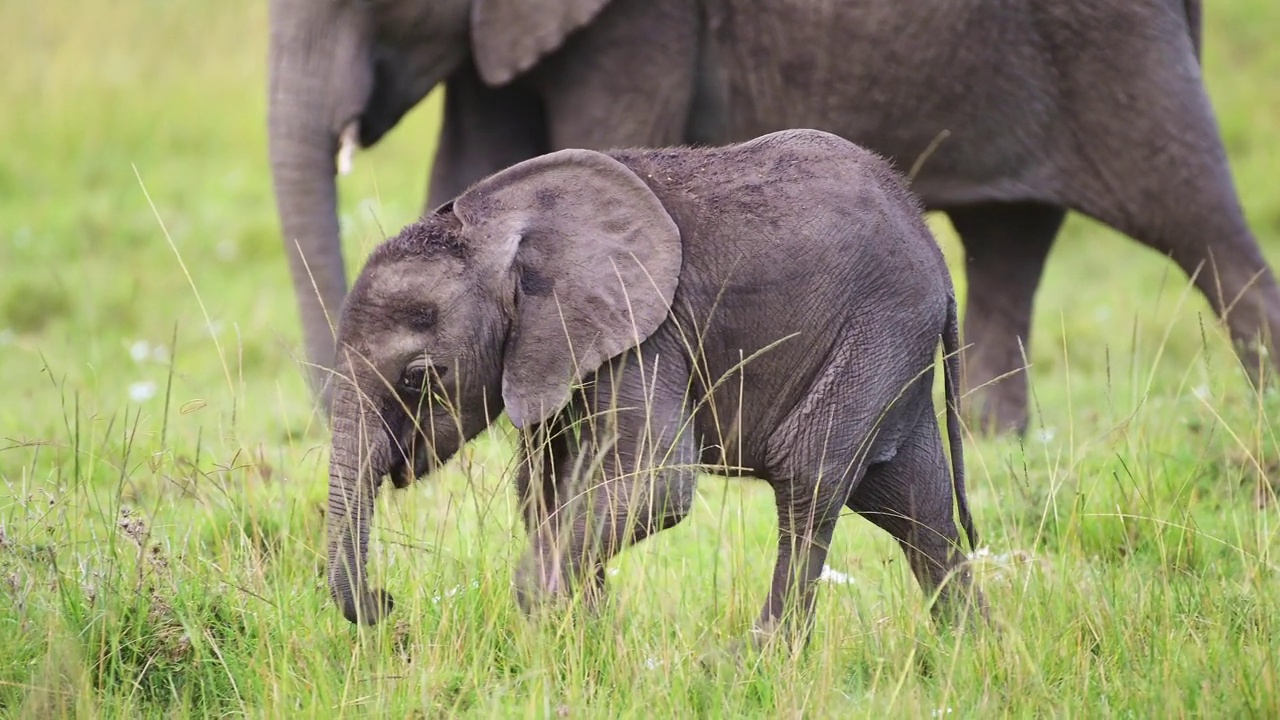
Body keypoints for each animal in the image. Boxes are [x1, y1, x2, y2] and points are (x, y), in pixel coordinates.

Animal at [270, 0, 1280, 430]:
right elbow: (477, 166)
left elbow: (598, 142)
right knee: (1009, 244)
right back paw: (999, 441)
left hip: (1117, 45)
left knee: (1199, 221)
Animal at [325, 126, 983, 635]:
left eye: (418, 377)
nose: (387, 603)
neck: (495, 223)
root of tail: (933, 249)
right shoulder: (553, 349)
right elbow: (550, 488)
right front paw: (586, 637)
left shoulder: (649, 332)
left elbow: (656, 482)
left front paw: (552, 614)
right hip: (892, 348)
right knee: (912, 502)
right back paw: (967, 651)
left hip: (881, 326)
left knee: (809, 470)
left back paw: (760, 657)